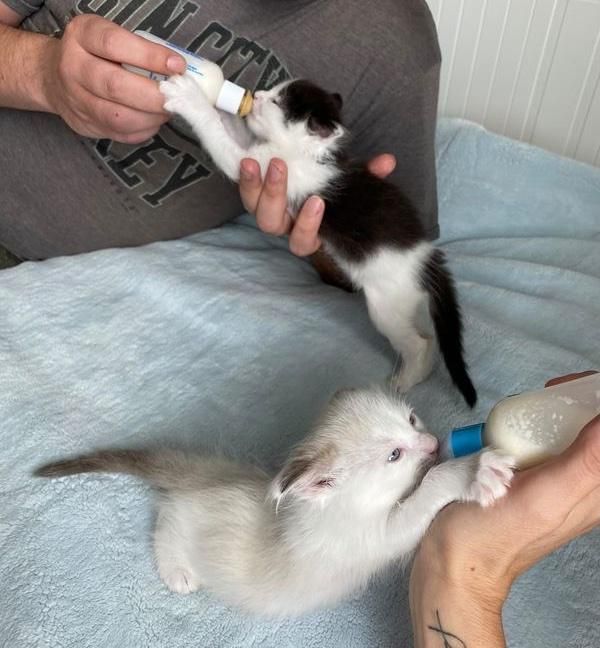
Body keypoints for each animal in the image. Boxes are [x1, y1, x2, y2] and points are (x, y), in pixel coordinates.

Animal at [36, 388, 516, 616]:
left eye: (412, 419)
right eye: (394, 455)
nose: (432, 441)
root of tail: (214, 477)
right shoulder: (367, 538)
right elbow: (427, 490)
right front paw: (473, 472)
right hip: (181, 525)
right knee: (165, 518)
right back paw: (177, 572)